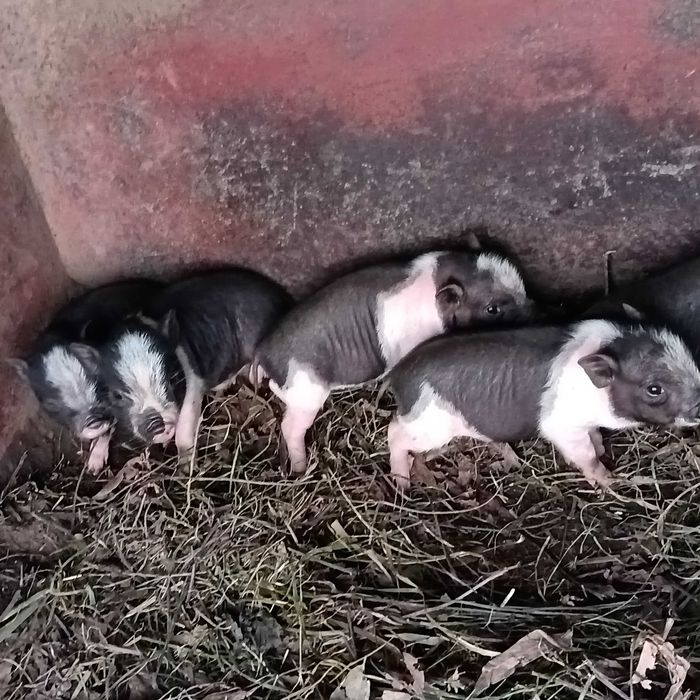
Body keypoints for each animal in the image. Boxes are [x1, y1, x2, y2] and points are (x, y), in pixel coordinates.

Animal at [254, 250, 536, 475]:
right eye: (492, 309)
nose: (538, 310)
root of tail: (264, 353)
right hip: (306, 393)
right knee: (290, 426)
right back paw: (301, 468)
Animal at [386, 319, 700, 489]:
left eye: (692, 361)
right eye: (654, 389)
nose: (698, 405)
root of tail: (400, 373)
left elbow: (595, 438)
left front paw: (602, 449)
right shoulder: (562, 426)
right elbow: (586, 454)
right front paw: (609, 479)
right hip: (430, 424)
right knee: (394, 431)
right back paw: (402, 483)